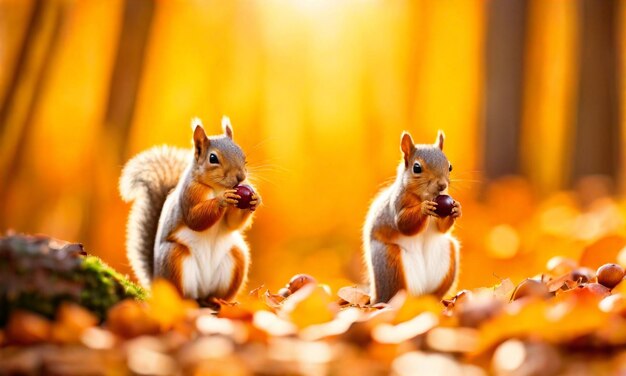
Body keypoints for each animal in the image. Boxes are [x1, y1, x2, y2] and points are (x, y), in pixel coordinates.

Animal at [119, 117, 258, 306]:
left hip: (237, 257)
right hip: (174, 258)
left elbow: (232, 224)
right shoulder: (190, 193)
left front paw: (255, 199)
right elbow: (195, 219)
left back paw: (220, 302)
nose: (240, 177)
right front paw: (222, 200)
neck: (217, 187)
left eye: (243, 155)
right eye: (213, 158)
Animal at [364, 131, 460, 304]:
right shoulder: (397, 205)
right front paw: (424, 208)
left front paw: (457, 209)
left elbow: (442, 228)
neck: (426, 196)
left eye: (450, 166)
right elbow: (404, 224)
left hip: (447, 256)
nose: (442, 185)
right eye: (417, 168)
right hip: (389, 261)